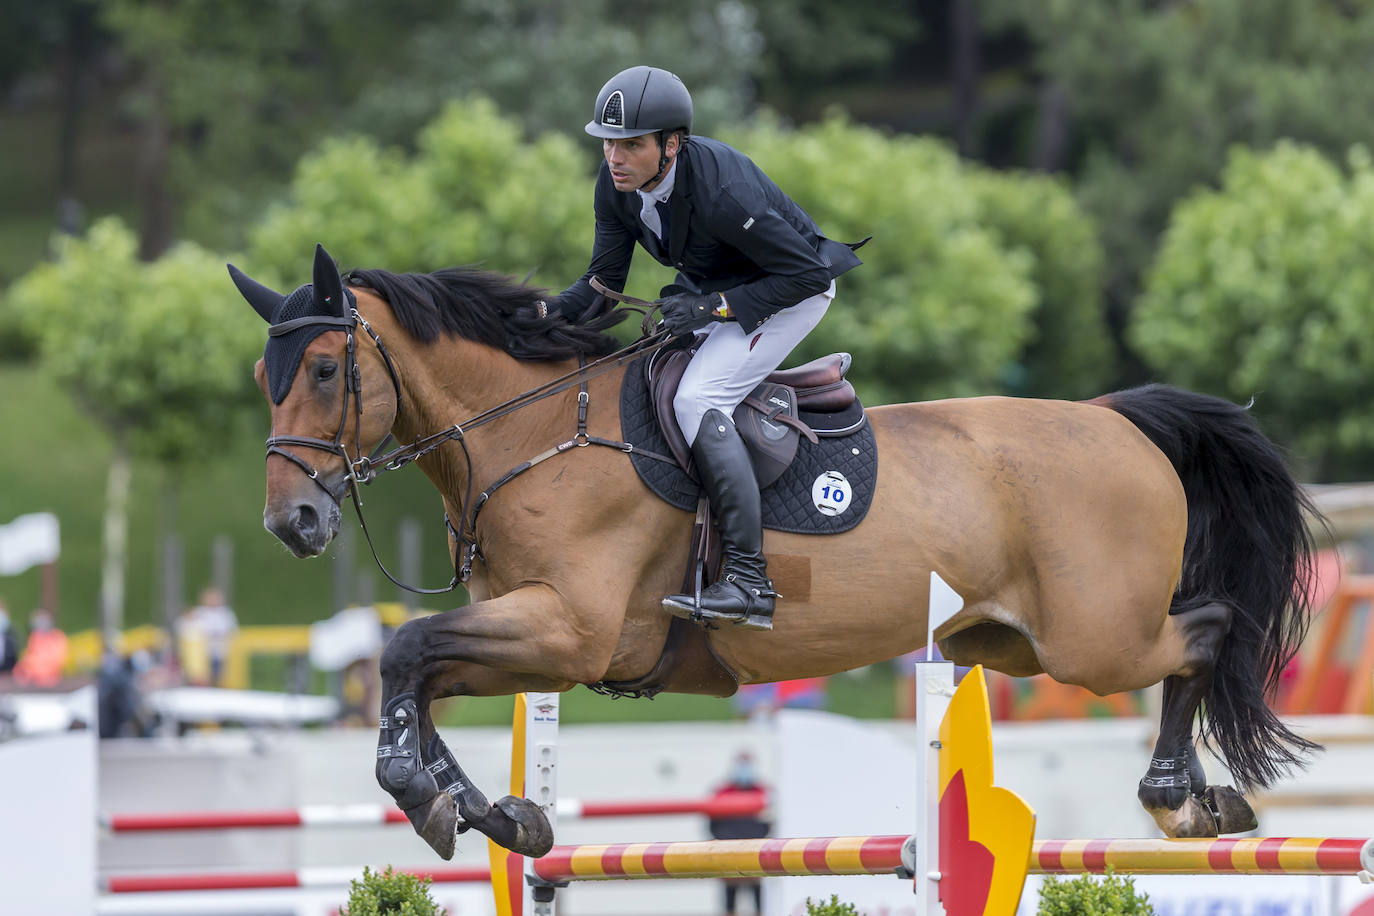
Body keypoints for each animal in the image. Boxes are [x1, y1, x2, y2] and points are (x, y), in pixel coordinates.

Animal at [230, 245, 1324, 862]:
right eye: (260, 376)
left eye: (322, 368)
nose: (293, 523)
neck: (532, 428)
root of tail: (1120, 420)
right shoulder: (533, 636)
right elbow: (416, 676)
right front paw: (495, 816)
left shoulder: (570, 630)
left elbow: (404, 650)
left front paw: (427, 797)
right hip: (1006, 641)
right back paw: (1194, 799)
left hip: (1093, 639)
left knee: (1206, 631)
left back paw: (1178, 797)